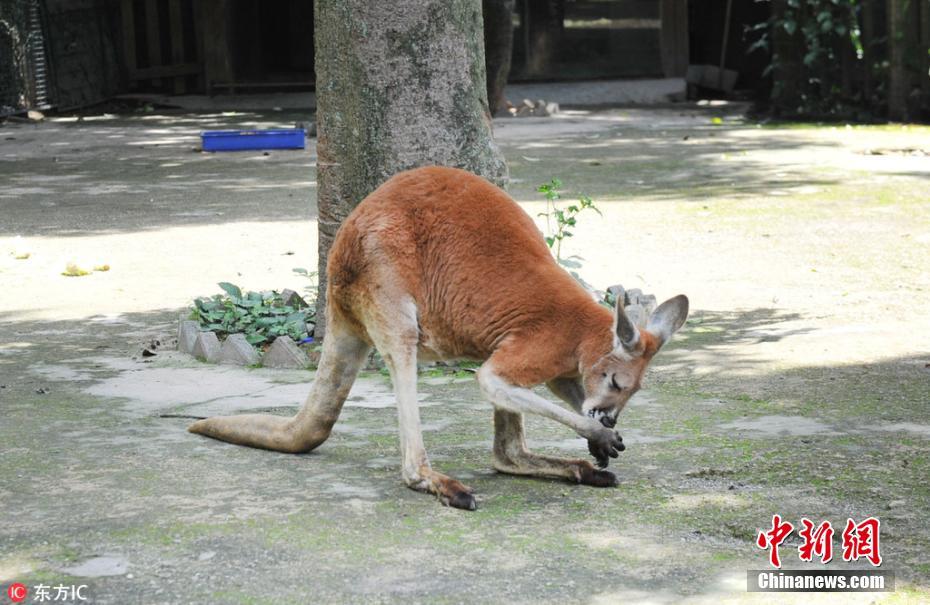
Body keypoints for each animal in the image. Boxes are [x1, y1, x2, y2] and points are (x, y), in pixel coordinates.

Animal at [189, 166, 688, 511]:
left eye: (630, 392)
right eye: (619, 383)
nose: (610, 418)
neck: (583, 332)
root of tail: (335, 287)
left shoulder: (560, 366)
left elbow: (562, 394)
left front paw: (601, 439)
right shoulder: (540, 345)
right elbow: (491, 381)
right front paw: (598, 434)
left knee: (506, 455)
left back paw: (578, 470)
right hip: (386, 287)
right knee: (420, 412)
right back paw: (443, 485)